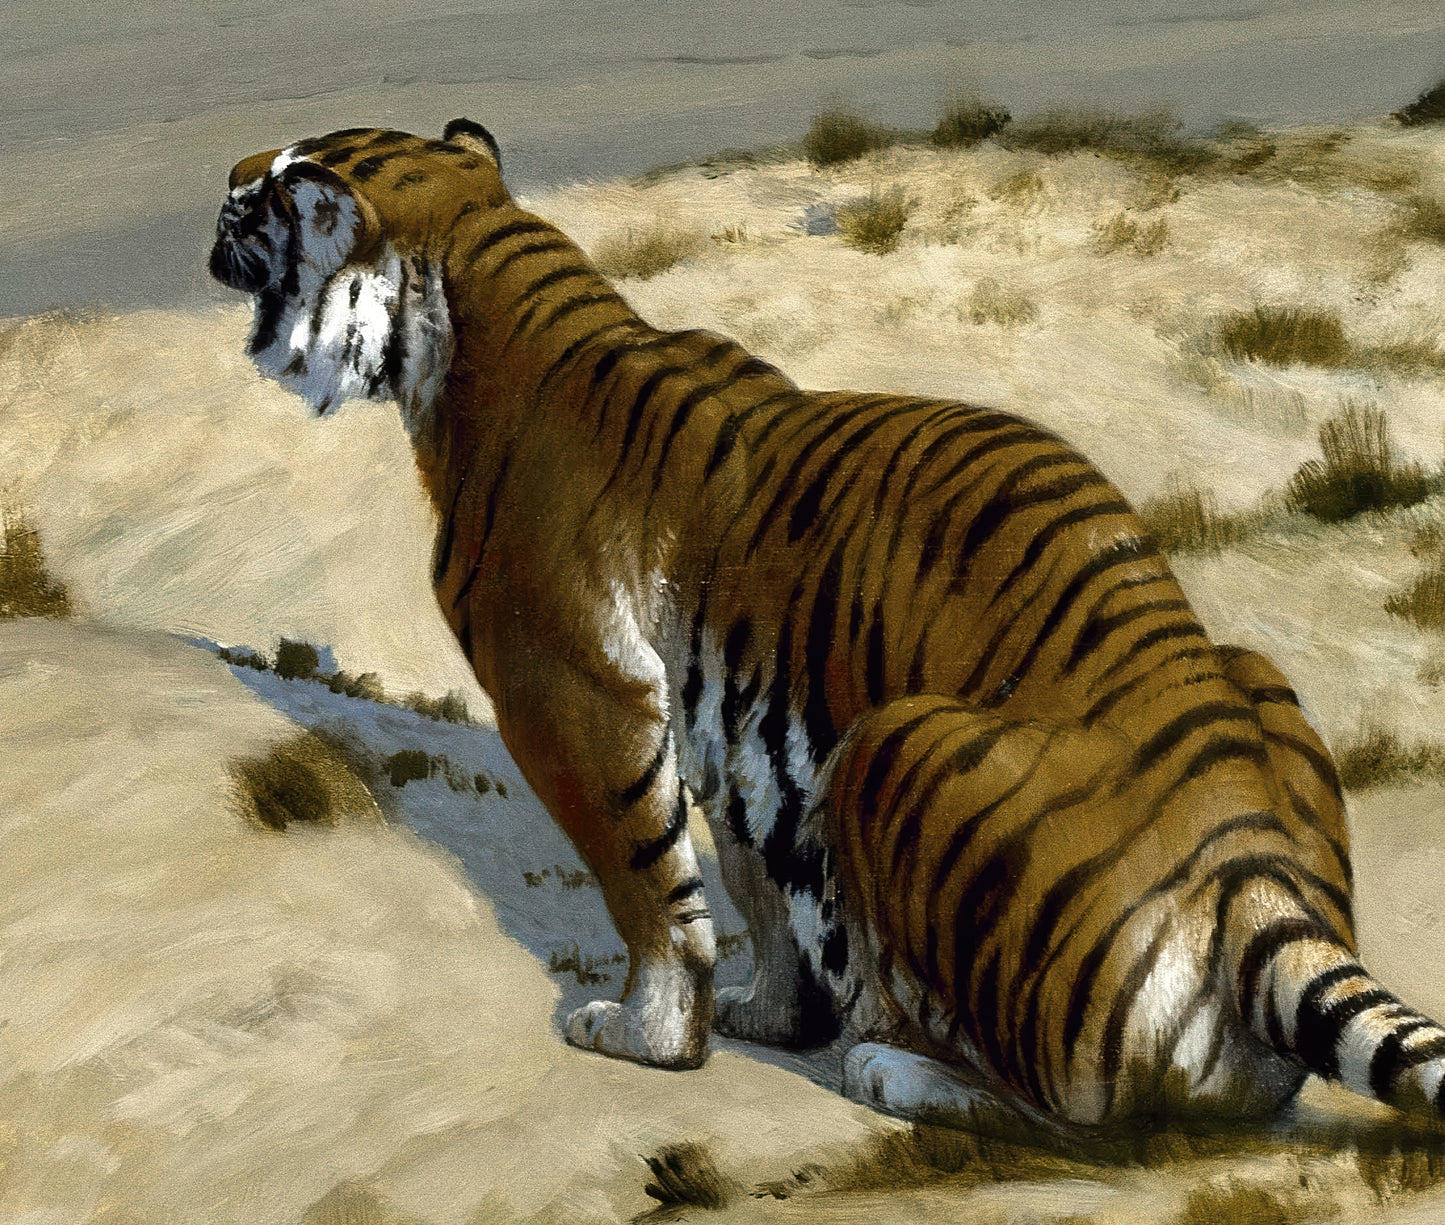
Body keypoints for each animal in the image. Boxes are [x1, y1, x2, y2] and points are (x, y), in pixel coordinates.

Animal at [211, 118, 1445, 1131]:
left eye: (264, 195)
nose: (218, 188)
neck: (469, 293)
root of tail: (1254, 868)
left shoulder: (568, 685)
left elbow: (646, 880)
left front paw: (649, 1037)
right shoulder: (727, 717)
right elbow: (752, 877)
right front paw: (768, 1015)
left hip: (893, 745)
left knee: (1061, 1110)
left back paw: (891, 1065)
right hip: (1247, 668)